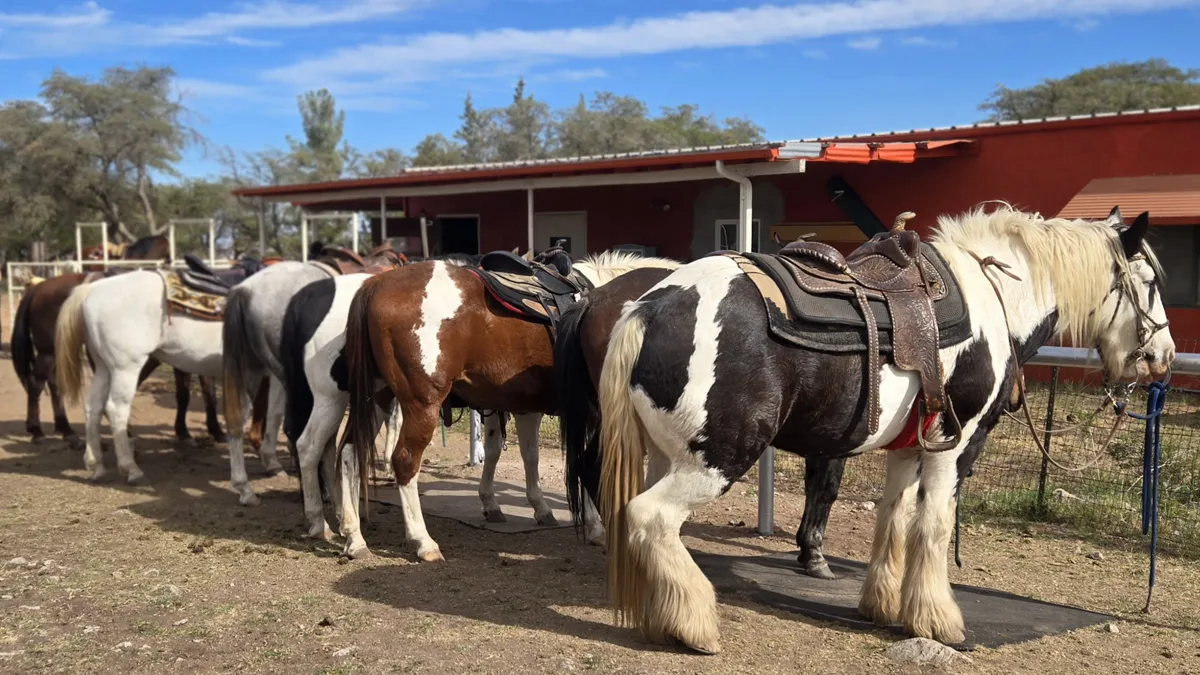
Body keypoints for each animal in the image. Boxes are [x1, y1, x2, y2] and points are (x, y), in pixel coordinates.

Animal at [54, 257, 266, 483]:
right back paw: (131, 468)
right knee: (116, 409)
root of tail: (92, 289)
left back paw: (97, 465)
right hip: (126, 368)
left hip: (104, 367)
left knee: (93, 407)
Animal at [221, 242, 408, 506]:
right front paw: (390, 466)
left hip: (256, 369)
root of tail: (244, 290)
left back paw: (247, 487)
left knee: (241, 419)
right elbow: (394, 420)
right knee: (295, 429)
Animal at [338, 249, 681, 562]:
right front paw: (596, 526)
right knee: (405, 460)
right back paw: (422, 541)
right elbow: (586, 462)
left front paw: (524, 506)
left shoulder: (523, 406)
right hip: (421, 404)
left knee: (349, 452)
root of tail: (375, 284)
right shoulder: (590, 411)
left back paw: (354, 536)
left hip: (378, 397)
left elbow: (518, 454)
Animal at [594, 204, 1174, 653]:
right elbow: (935, 525)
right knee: (649, 518)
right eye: (1148, 284)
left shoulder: (907, 448)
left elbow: (893, 518)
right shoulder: (956, 445)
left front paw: (882, 604)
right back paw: (696, 626)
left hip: (667, 455)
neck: (995, 296)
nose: (1163, 357)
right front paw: (937, 620)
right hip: (717, 458)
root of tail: (650, 307)